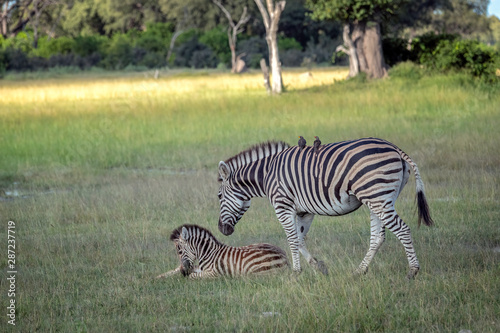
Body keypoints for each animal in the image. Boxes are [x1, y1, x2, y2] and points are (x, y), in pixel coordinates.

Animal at [219, 136, 434, 278]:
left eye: (219, 196)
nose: (222, 229)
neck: (267, 174)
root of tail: (395, 148)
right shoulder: (304, 211)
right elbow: (300, 239)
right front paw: (318, 267)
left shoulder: (283, 206)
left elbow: (292, 239)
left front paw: (296, 272)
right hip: (379, 199)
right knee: (378, 237)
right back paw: (359, 271)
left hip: (377, 197)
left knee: (403, 229)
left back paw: (413, 271)